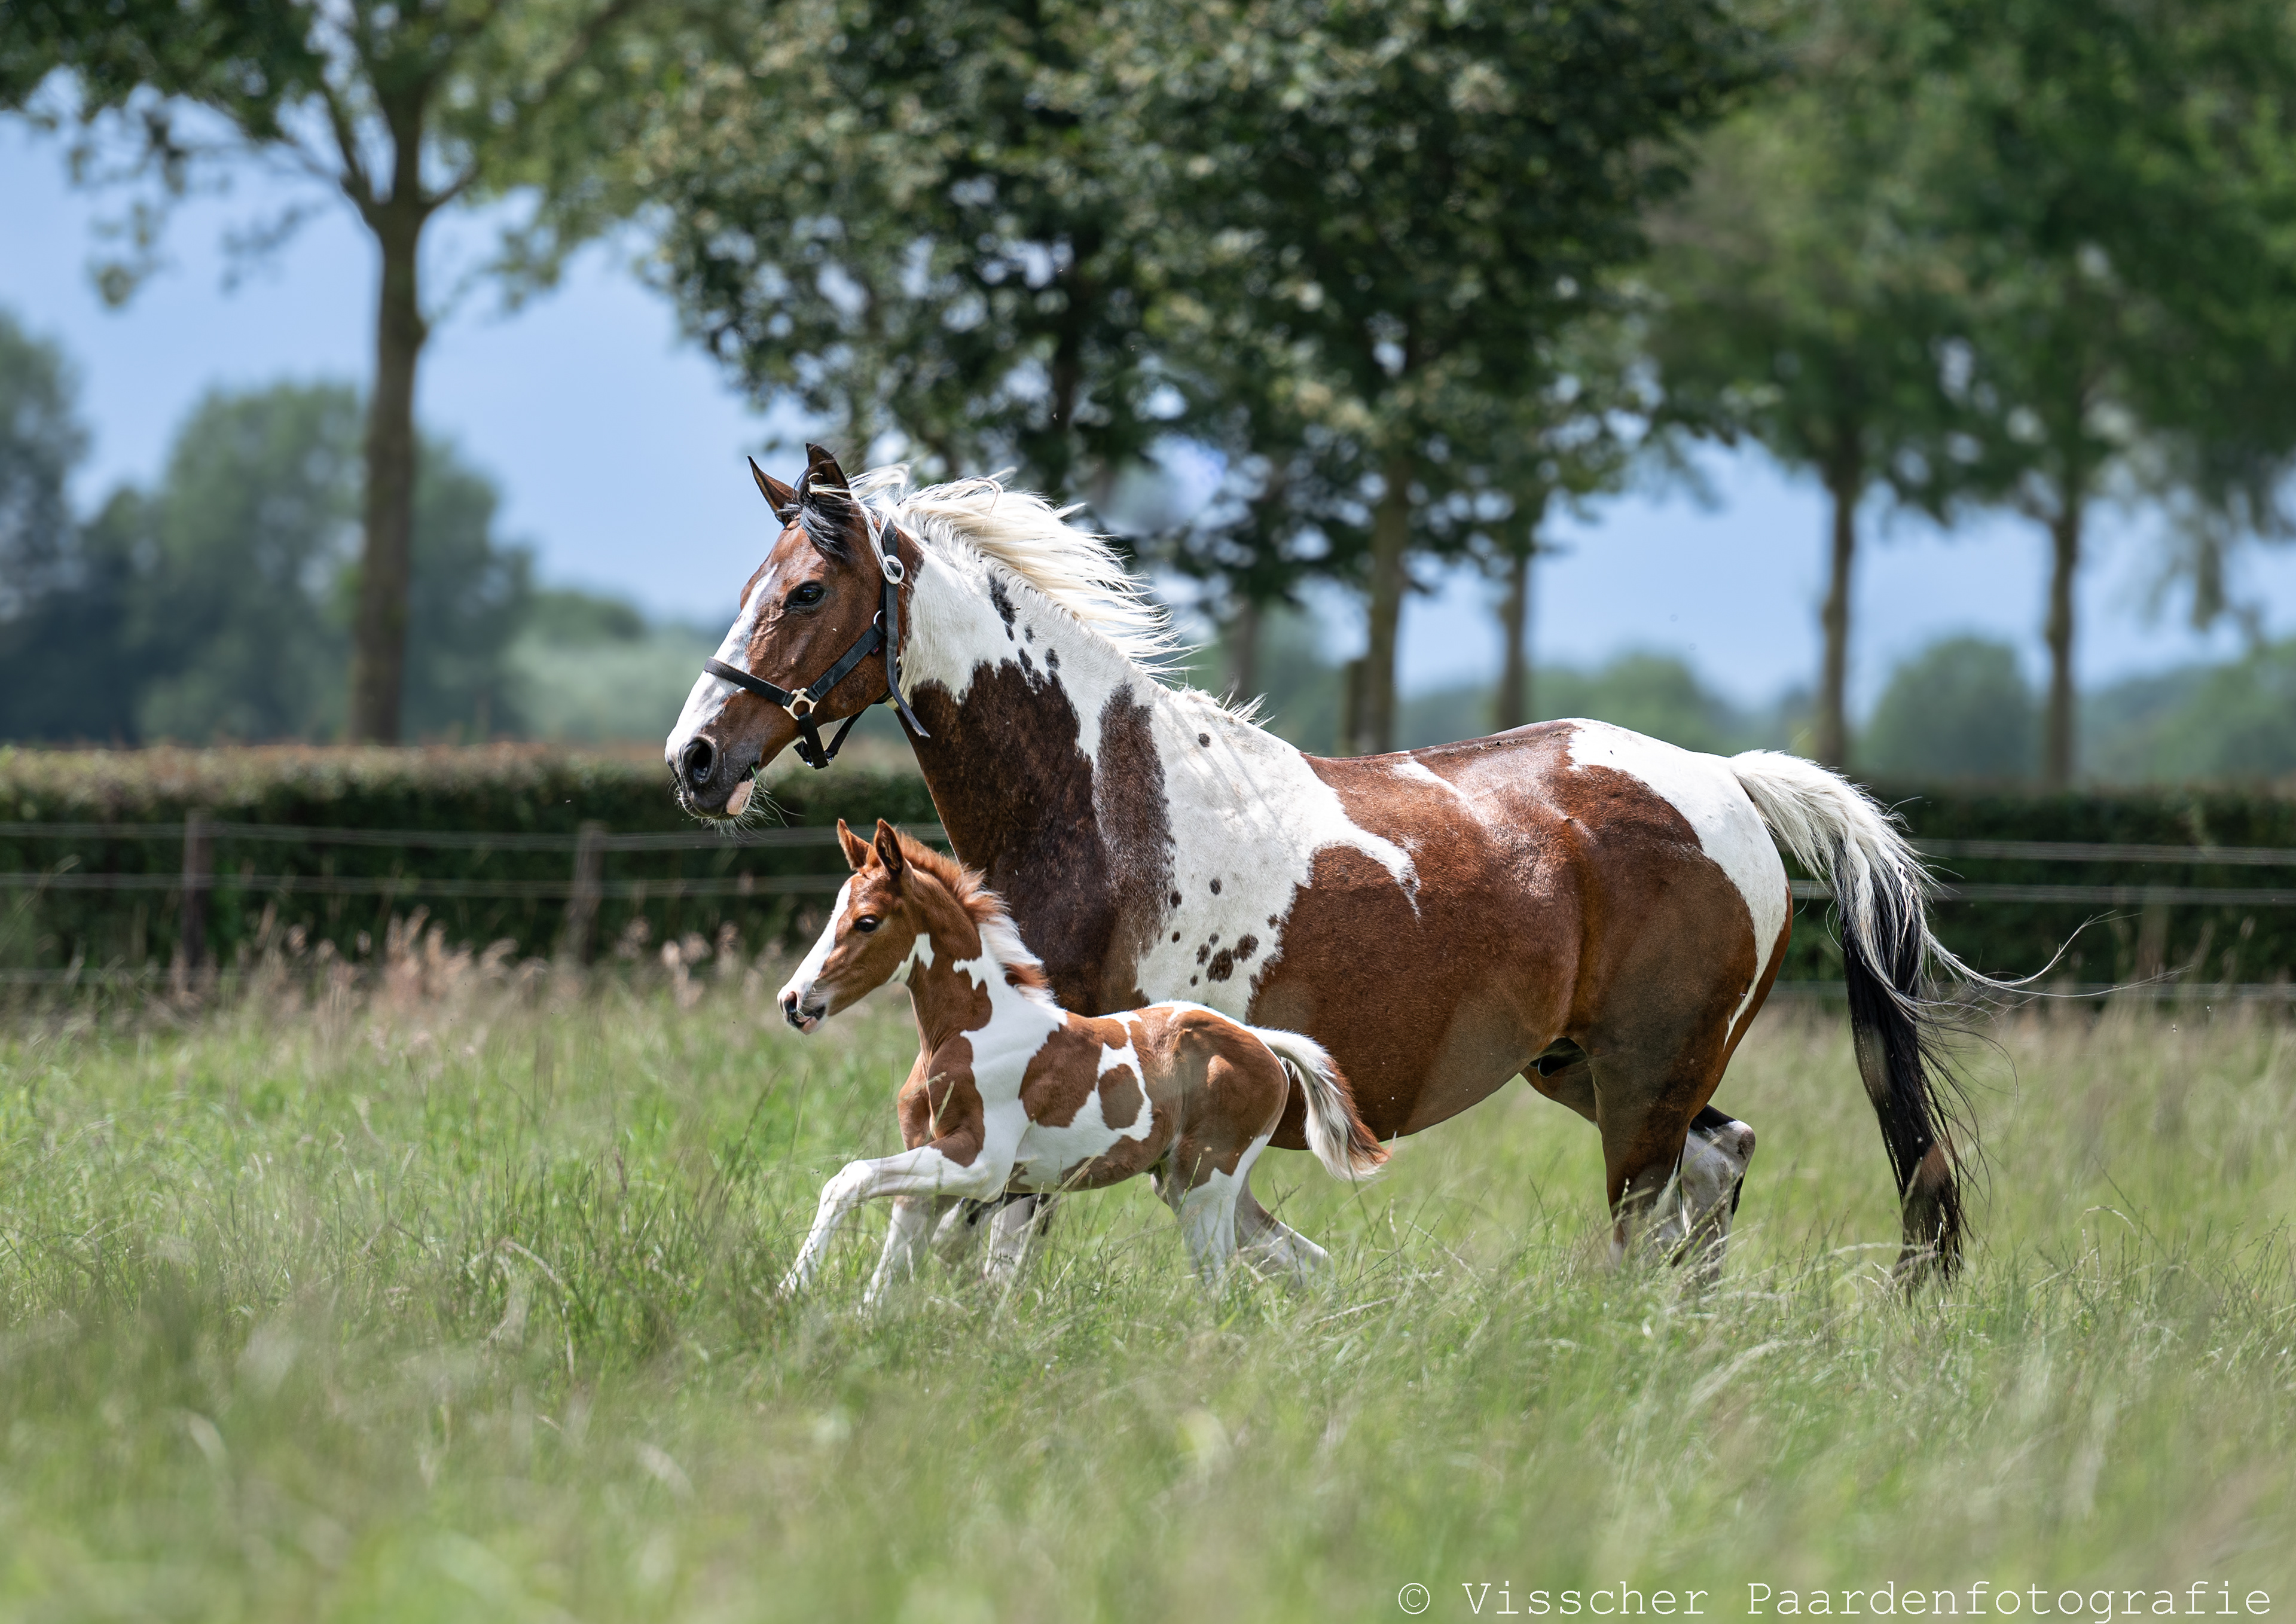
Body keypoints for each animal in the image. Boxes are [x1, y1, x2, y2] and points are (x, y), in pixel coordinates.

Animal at [774, 818, 1388, 1299]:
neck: (971, 1032)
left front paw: (790, 1291)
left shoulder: (981, 1164)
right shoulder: (936, 1171)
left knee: (1220, 1286)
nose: (794, 1001)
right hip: (1192, 1183)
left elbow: (848, 1179)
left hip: (1205, 1185)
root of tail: (1260, 1039)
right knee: (1307, 1262)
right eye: (833, 915)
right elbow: (887, 1274)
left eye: (867, 921)